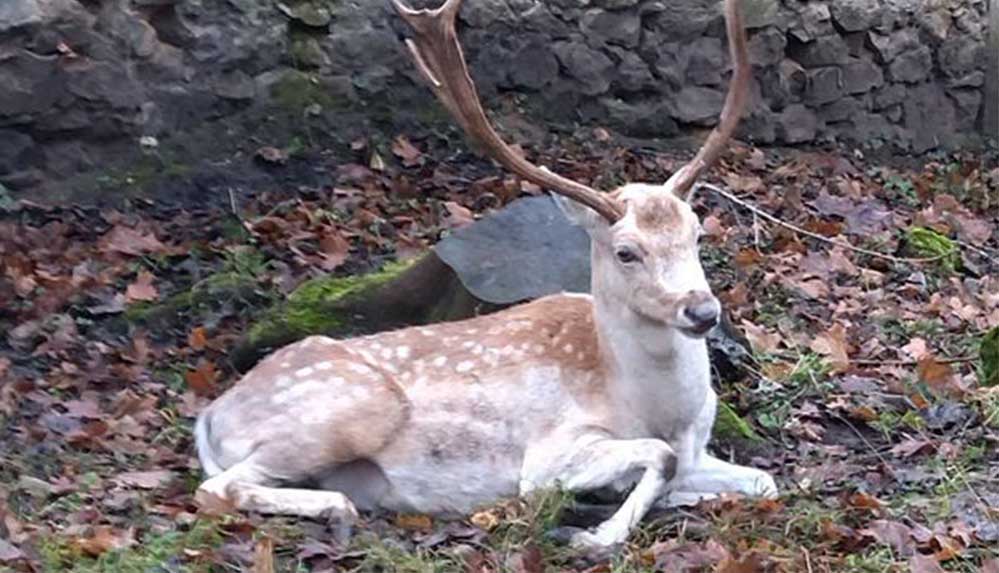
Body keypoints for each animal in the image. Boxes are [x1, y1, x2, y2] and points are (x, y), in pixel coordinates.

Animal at [191, 0, 776, 548]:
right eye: (626, 252)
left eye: (696, 232)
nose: (702, 311)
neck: (660, 410)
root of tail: (213, 413)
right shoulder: (550, 453)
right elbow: (654, 460)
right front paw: (595, 533)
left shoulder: (698, 448)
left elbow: (764, 481)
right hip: (346, 411)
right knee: (216, 488)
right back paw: (338, 510)